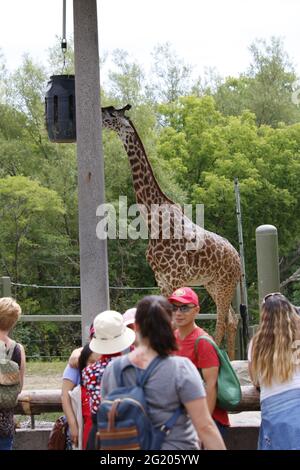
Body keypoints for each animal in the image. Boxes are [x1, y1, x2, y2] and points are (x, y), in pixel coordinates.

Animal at [102, 103, 243, 360]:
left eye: (111, 113)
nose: (98, 113)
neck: (152, 219)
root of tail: (237, 258)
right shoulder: (162, 279)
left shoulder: (175, 277)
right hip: (213, 284)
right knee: (232, 318)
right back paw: (233, 359)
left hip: (224, 284)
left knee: (222, 320)